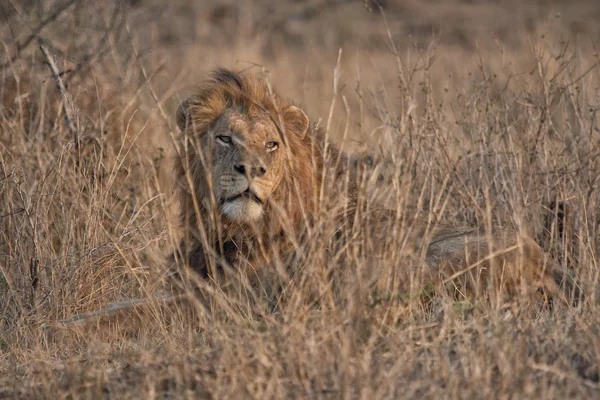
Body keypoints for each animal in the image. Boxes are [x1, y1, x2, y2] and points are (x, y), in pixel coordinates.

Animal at [170, 68, 580, 306]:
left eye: (271, 144)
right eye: (225, 139)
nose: (252, 169)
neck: (230, 230)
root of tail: (549, 265)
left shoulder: (244, 294)